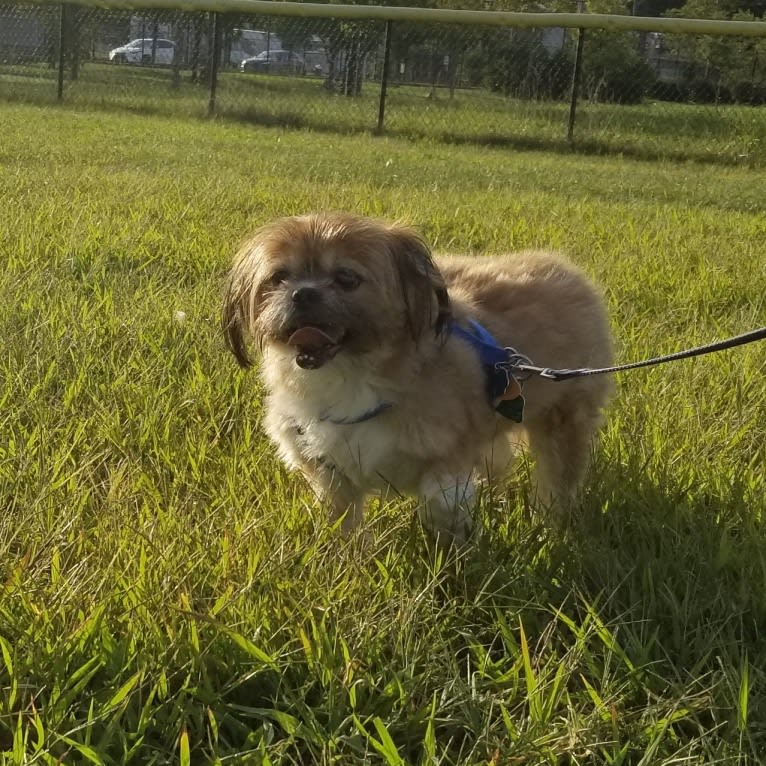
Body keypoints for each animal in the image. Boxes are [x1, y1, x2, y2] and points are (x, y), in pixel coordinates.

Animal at [220, 213, 612, 544]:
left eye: (347, 278)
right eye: (279, 278)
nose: (303, 293)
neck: (349, 378)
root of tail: (562, 268)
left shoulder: (447, 465)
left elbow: (442, 511)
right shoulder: (329, 471)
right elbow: (344, 522)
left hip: (564, 421)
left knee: (558, 475)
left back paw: (550, 522)